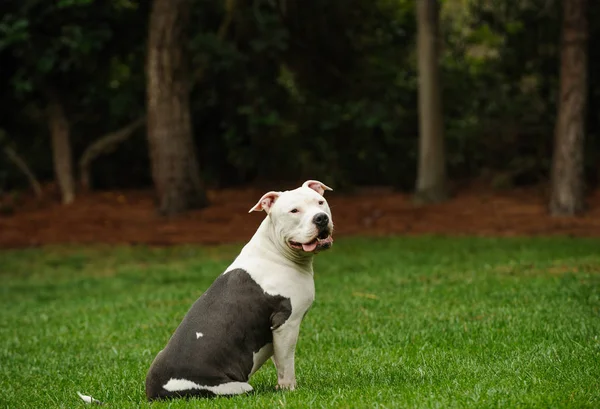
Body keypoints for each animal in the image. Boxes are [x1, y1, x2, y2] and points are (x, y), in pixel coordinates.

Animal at [144, 178, 336, 398]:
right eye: (294, 210)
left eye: (320, 202)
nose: (321, 218)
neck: (276, 251)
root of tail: (155, 390)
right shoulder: (286, 324)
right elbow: (286, 364)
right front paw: (289, 389)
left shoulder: (275, 332)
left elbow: (278, 360)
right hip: (237, 387)